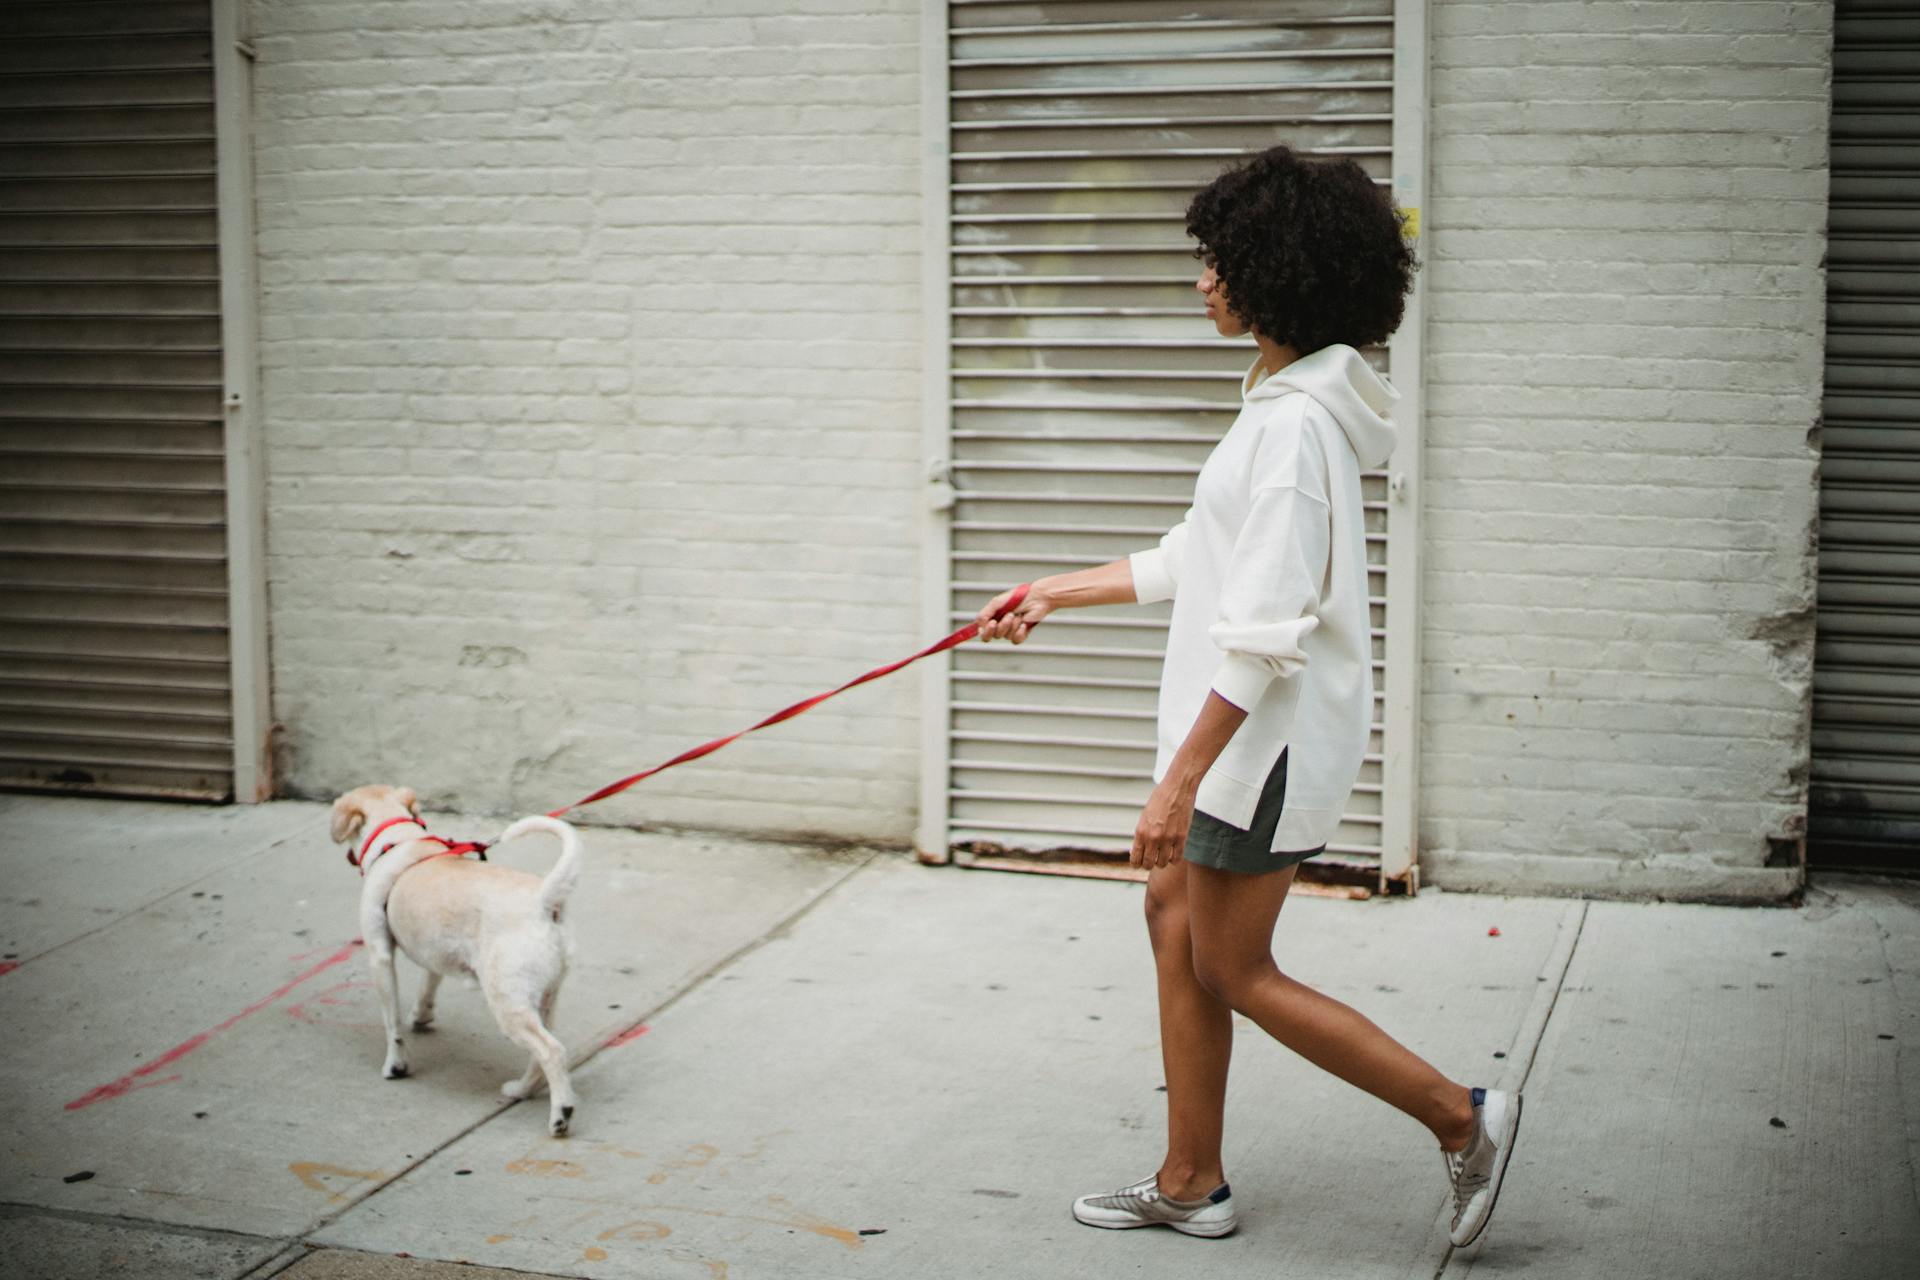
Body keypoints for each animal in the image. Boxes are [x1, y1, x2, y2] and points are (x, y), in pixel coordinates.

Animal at [330, 786, 583, 1136]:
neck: (399, 840)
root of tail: (543, 902)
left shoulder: (379, 955)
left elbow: (392, 1023)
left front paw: (396, 1066)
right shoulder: (433, 952)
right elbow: (427, 985)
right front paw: (421, 1016)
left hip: (508, 1004)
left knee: (552, 1050)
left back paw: (560, 1115)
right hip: (545, 997)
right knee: (543, 1053)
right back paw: (521, 1090)